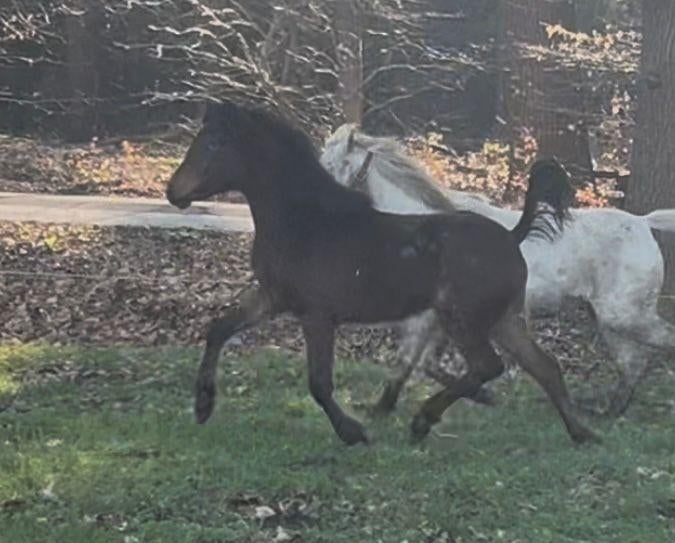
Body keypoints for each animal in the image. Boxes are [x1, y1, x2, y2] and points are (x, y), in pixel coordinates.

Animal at [166, 100, 597, 446]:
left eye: (214, 143)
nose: (173, 191)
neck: (304, 222)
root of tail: (512, 236)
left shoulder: (317, 315)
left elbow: (319, 383)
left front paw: (353, 432)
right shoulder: (273, 298)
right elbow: (219, 329)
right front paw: (203, 406)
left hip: (464, 320)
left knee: (489, 367)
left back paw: (423, 421)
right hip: (502, 320)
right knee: (544, 366)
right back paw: (582, 433)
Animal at [320, 123, 675, 416]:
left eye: (327, 165)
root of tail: (643, 223)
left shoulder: (428, 317)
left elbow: (414, 362)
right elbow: (420, 364)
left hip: (625, 315)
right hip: (610, 318)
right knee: (632, 363)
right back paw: (603, 412)